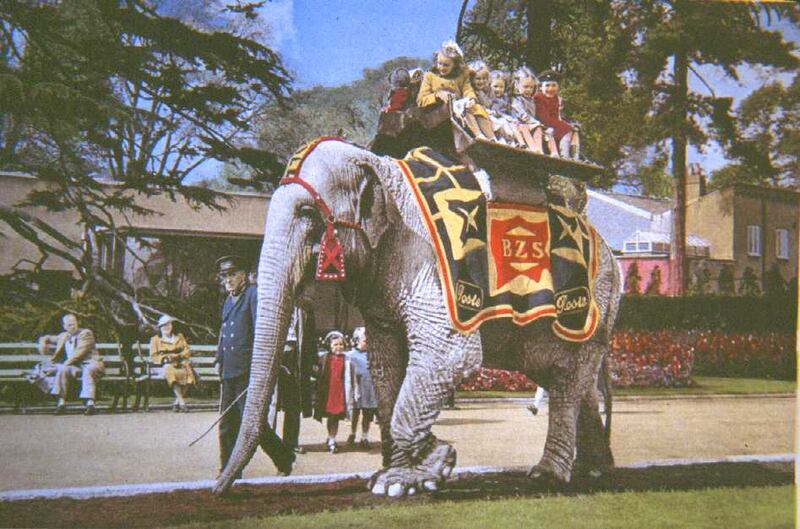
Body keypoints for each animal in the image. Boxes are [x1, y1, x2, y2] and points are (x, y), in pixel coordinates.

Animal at [214, 138, 624, 498]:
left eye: (307, 213)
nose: (219, 490)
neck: (381, 169)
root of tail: (611, 252)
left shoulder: (427, 264)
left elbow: (449, 356)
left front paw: (431, 465)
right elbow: (384, 366)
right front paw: (396, 478)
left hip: (594, 304)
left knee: (566, 382)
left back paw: (548, 476)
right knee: (564, 377)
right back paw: (595, 470)